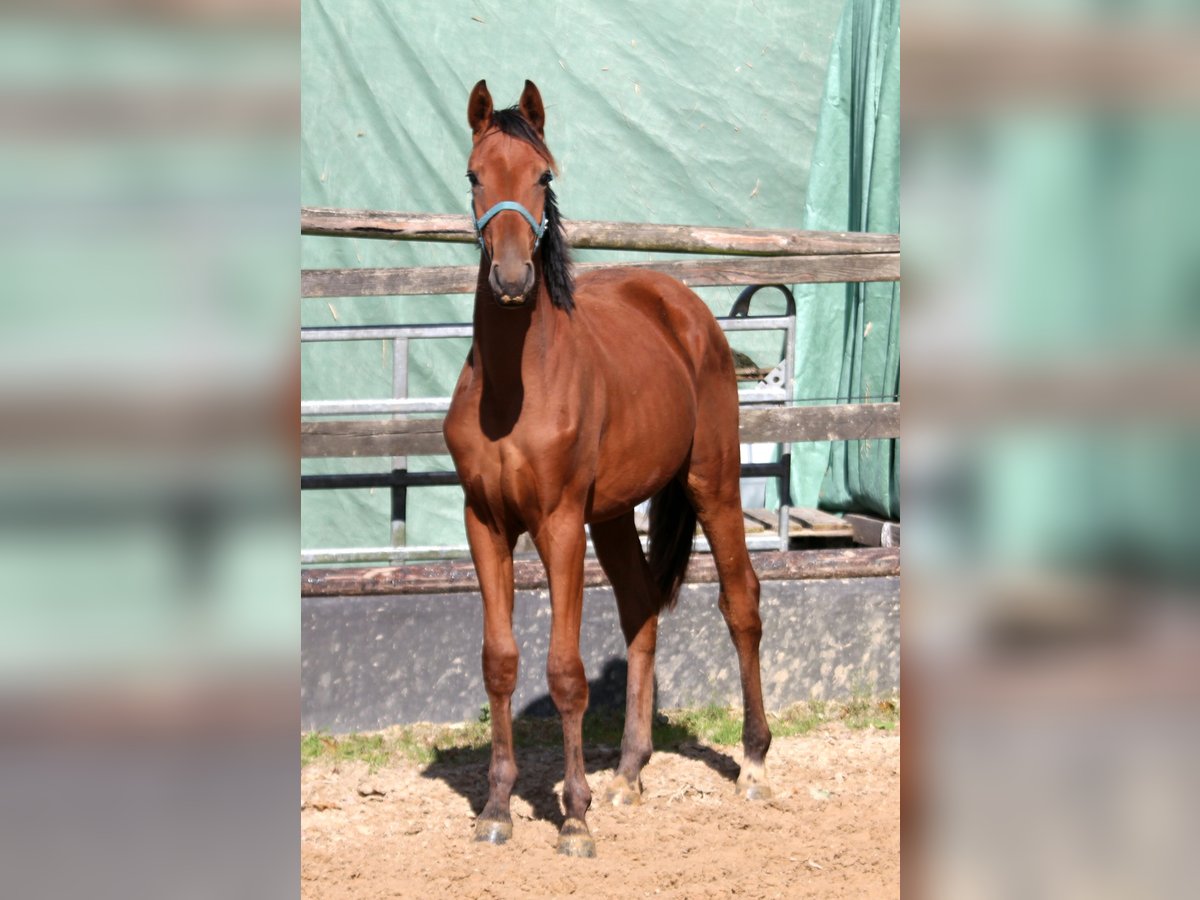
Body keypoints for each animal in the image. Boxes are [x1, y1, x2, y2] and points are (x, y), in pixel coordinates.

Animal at [446, 82, 772, 859]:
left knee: (741, 602)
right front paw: (497, 810)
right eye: (474, 176)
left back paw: (752, 762)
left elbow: (565, 672)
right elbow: (499, 661)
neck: (515, 388)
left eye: (544, 176)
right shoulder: (485, 523)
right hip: (618, 513)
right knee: (641, 610)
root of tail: (682, 307)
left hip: (712, 485)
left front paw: (574, 818)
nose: (512, 278)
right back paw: (629, 772)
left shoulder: (559, 523)